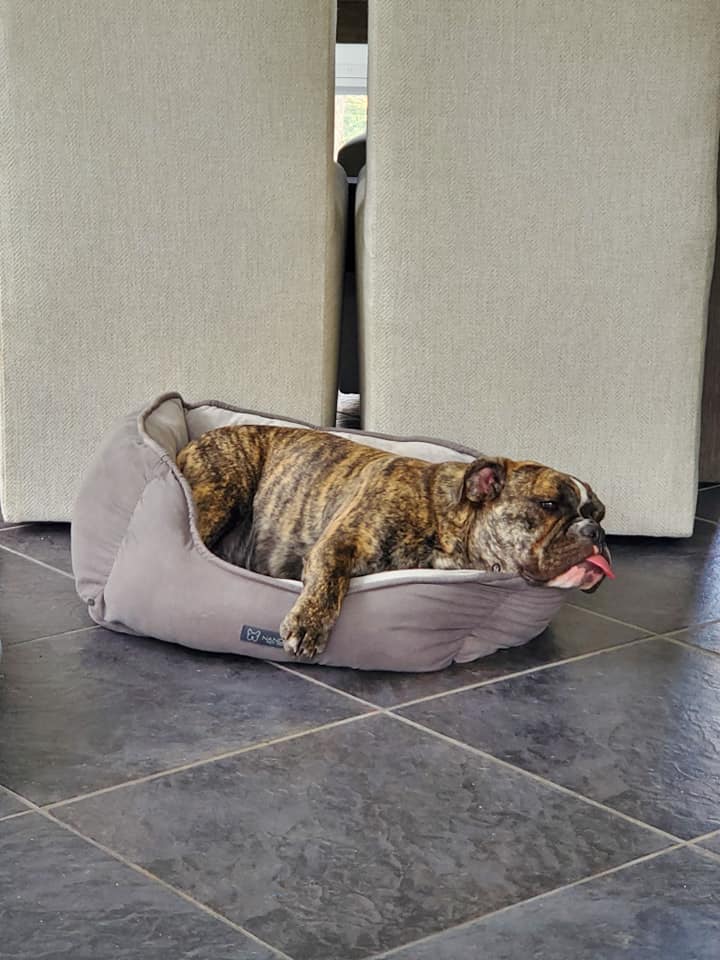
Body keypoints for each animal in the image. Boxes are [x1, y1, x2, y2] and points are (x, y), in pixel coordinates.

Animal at [177, 425, 613, 659]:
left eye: (600, 514)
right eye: (548, 504)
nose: (594, 532)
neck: (443, 519)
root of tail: (192, 443)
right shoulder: (338, 543)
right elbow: (329, 583)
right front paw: (308, 626)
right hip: (223, 492)